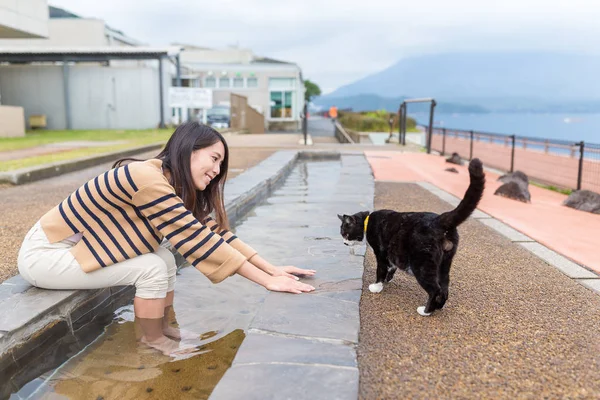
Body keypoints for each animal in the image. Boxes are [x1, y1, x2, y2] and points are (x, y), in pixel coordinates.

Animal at [340, 159, 486, 316]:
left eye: (345, 234)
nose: (344, 243)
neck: (367, 221)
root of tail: (439, 220)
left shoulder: (381, 252)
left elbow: (381, 269)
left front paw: (377, 286)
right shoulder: (392, 254)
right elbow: (391, 267)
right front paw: (387, 279)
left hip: (421, 263)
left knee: (435, 289)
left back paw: (426, 311)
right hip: (445, 262)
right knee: (445, 287)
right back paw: (438, 306)